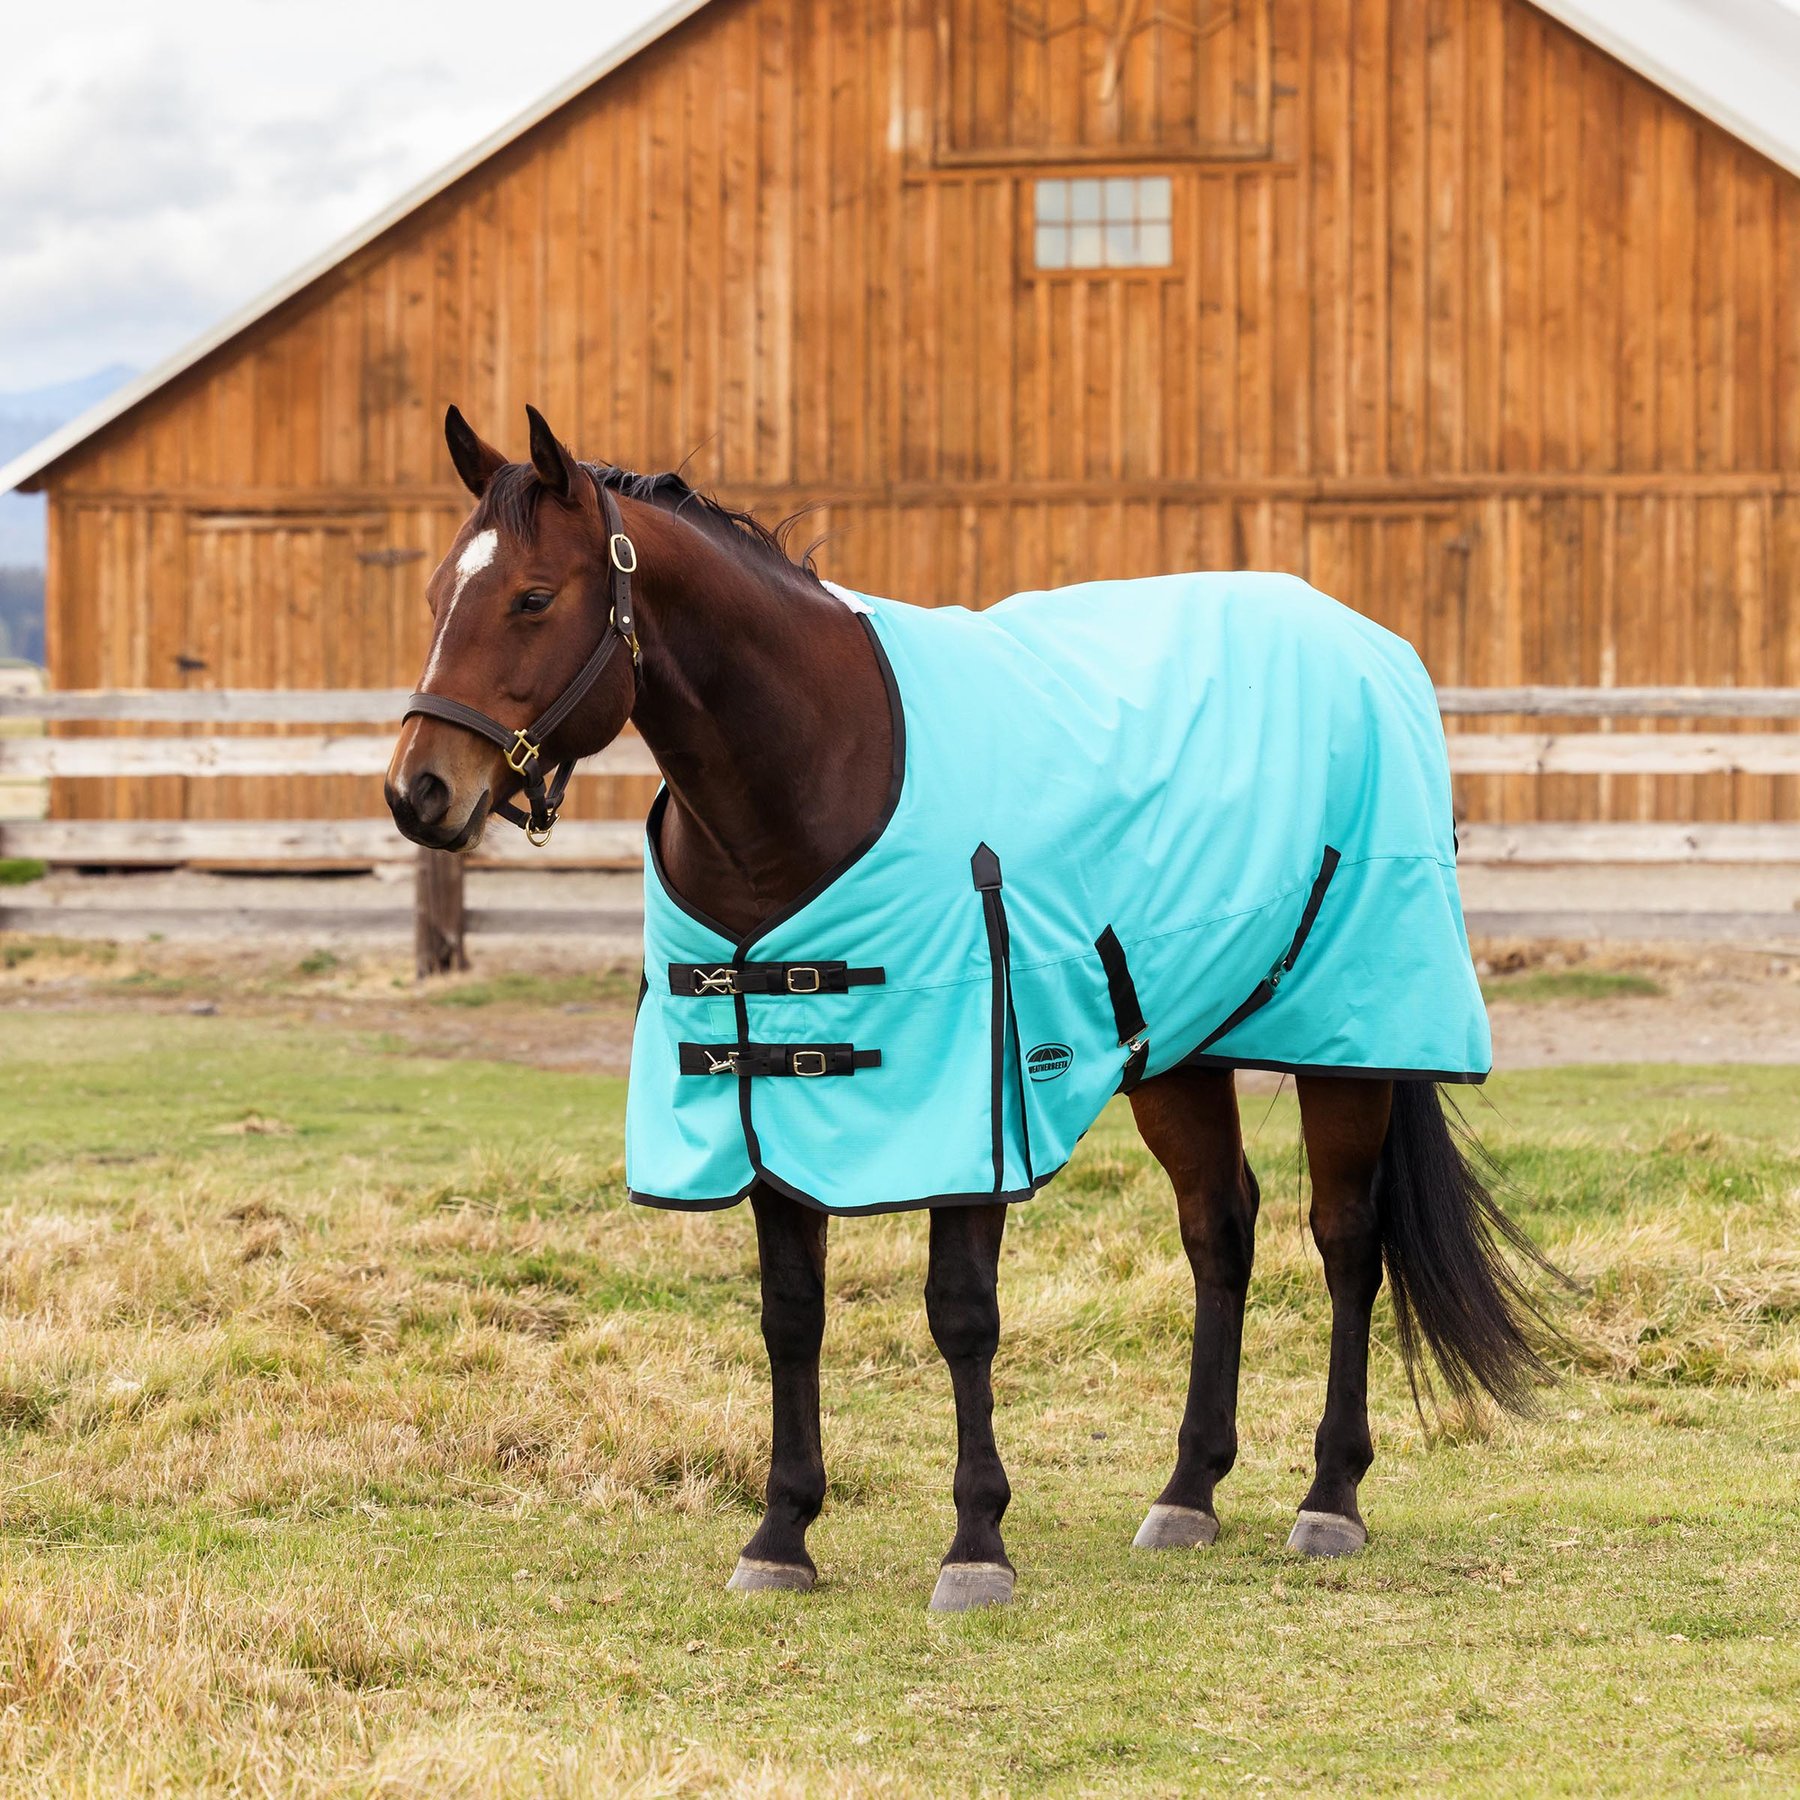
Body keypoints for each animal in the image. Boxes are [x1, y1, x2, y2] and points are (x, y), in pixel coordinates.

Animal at [386, 405, 1556, 1612]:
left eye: (533, 597)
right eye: (434, 594)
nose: (419, 791)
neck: (815, 774)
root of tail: (1370, 646)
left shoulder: (972, 1104)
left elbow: (960, 1314)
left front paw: (976, 1543)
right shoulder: (770, 1101)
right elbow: (789, 1315)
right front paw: (781, 1534)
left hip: (1348, 1047)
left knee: (1346, 1238)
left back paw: (1330, 1496)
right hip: (1178, 1048)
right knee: (1220, 1230)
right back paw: (1189, 1488)